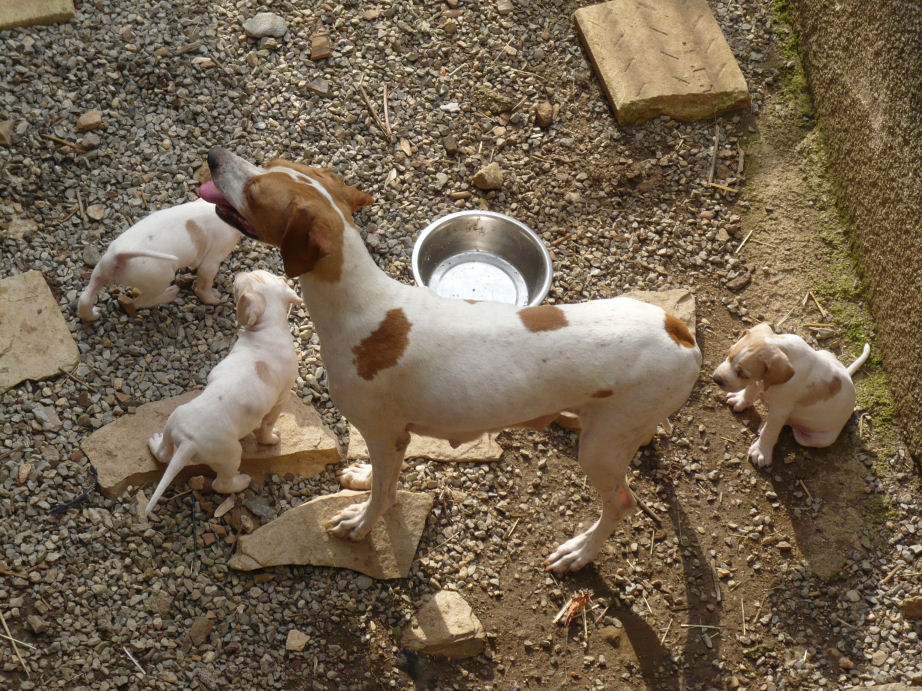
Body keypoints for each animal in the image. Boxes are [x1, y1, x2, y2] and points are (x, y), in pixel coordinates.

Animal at [77, 197, 239, 322]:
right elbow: (204, 285)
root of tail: (117, 255)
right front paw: (211, 298)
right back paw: (170, 294)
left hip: (100, 271)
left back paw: (91, 315)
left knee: (85, 298)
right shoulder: (211, 262)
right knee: (140, 302)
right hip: (162, 278)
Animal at [144, 268, 300, 512]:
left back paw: (155, 443)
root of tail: (188, 442)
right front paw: (270, 440)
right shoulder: (281, 400)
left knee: (163, 453)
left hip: (172, 423)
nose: (239, 272)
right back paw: (241, 482)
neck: (270, 326)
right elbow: (267, 426)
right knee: (221, 484)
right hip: (231, 455)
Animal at [201, 150, 700, 572]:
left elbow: (383, 496)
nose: (212, 156)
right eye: (272, 164)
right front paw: (363, 478)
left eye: (256, 192)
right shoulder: (390, 441)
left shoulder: (385, 433)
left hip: (599, 448)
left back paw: (579, 552)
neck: (361, 306)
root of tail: (680, 333)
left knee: (621, 503)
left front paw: (361, 525)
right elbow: (381, 479)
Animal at [712, 324, 868, 464]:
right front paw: (740, 400)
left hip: (815, 439)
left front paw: (761, 451)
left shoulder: (780, 410)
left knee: (788, 425)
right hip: (825, 353)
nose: (716, 379)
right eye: (729, 354)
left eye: (742, 374)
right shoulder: (758, 381)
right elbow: (750, 391)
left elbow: (770, 431)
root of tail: (847, 374)